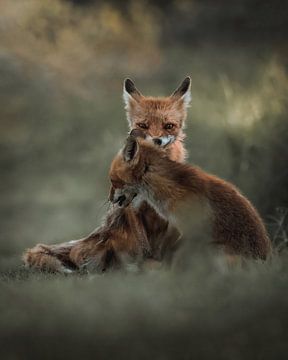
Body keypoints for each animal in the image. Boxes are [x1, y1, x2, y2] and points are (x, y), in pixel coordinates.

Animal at [23, 76, 191, 272]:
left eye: (168, 126)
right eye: (143, 125)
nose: (157, 140)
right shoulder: (133, 207)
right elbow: (144, 247)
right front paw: (149, 265)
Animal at [109, 131, 272, 260]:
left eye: (112, 180)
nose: (110, 199)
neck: (167, 187)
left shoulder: (191, 230)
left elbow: (171, 256)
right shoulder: (175, 226)